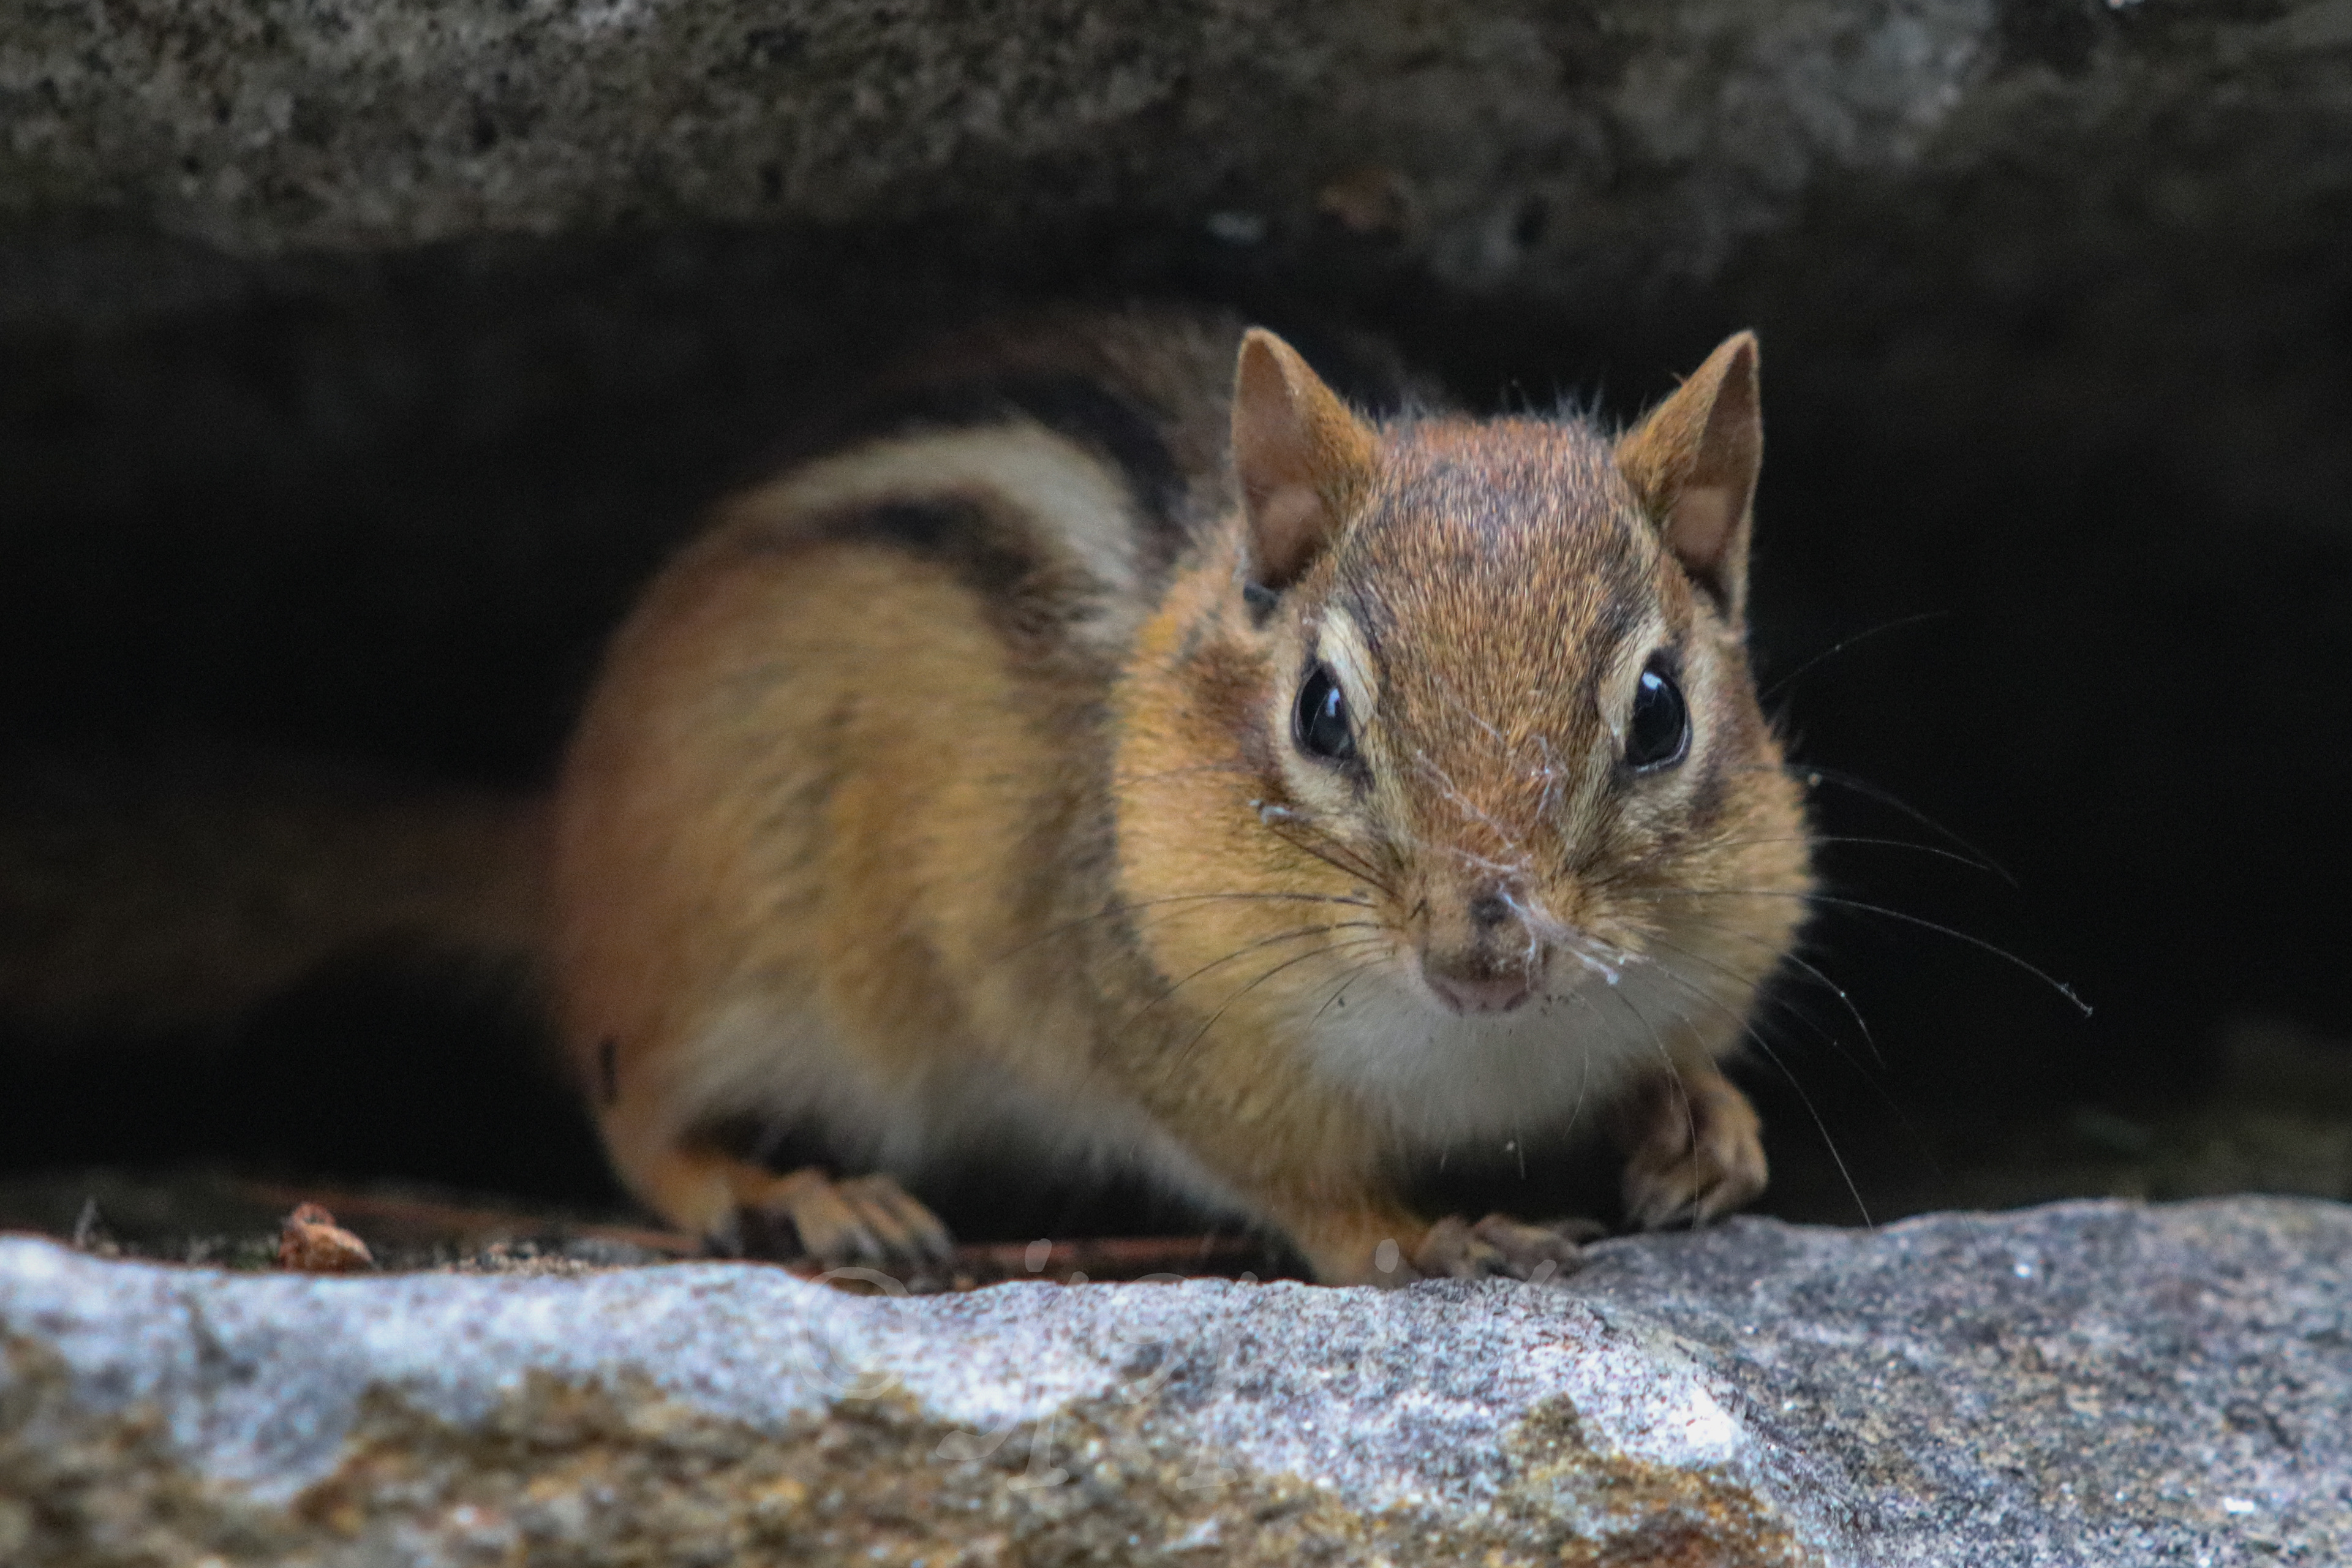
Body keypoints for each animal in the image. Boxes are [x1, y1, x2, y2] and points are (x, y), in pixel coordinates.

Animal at [548, 306, 1812, 1286]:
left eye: (1661, 713)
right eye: (1319, 709)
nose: (1486, 959)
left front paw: (1706, 1124)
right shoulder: (1162, 1035)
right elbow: (1295, 1187)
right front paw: (1425, 1237)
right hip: (719, 947)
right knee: (639, 1116)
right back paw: (798, 1191)